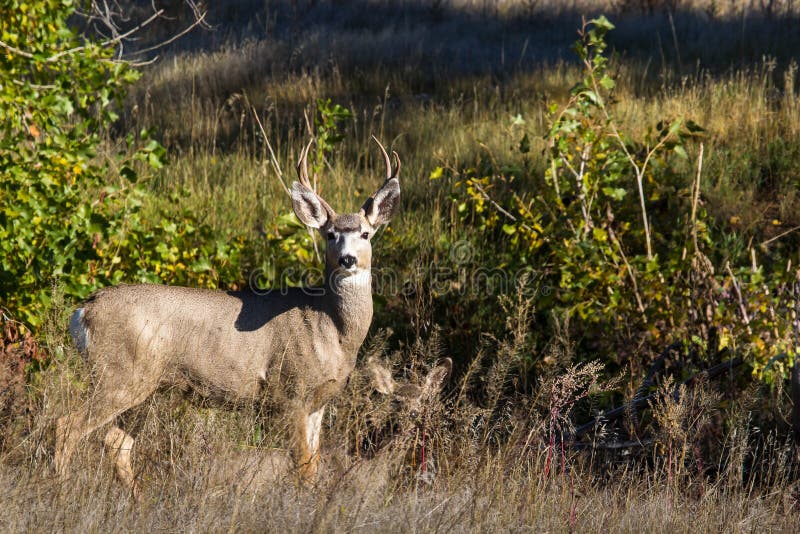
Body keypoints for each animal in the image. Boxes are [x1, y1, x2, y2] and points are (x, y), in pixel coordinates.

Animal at [55, 137, 402, 498]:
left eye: (365, 234)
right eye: (331, 234)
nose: (348, 259)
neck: (330, 327)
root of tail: (84, 311)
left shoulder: (317, 403)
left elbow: (315, 465)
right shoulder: (288, 390)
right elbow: (304, 470)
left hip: (144, 386)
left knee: (116, 442)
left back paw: (138, 500)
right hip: (118, 373)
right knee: (67, 425)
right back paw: (61, 491)